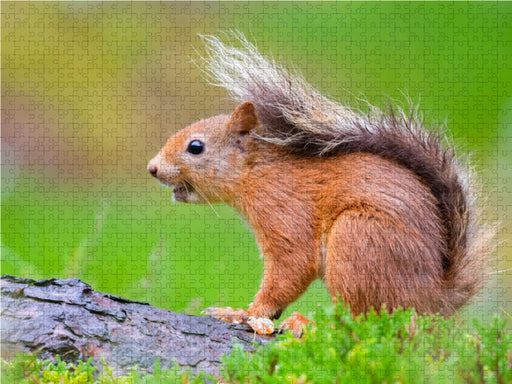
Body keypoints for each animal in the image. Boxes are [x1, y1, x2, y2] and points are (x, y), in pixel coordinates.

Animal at [147, 33, 492, 336]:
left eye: (195, 147)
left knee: (363, 317)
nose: (152, 168)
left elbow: (292, 266)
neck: (259, 173)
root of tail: (435, 300)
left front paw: (246, 313)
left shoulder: (285, 213)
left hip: (359, 241)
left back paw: (308, 324)